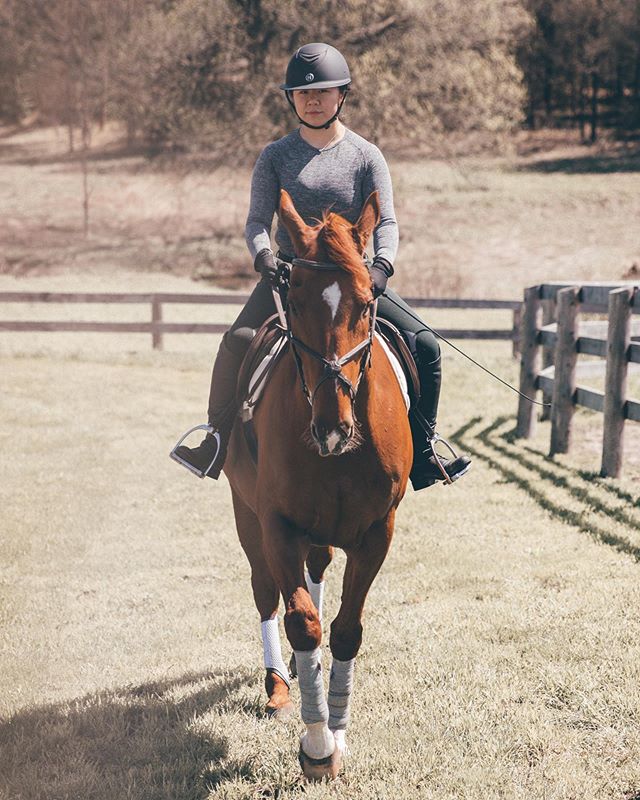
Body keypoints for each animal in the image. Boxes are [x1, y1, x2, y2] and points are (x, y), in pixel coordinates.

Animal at [225, 189, 412, 780]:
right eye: (297, 299)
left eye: (368, 303)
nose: (332, 428)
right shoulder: (277, 525)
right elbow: (302, 622)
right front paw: (316, 745)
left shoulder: (377, 530)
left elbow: (347, 628)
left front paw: (339, 730)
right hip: (246, 514)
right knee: (266, 592)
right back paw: (278, 685)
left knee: (318, 569)